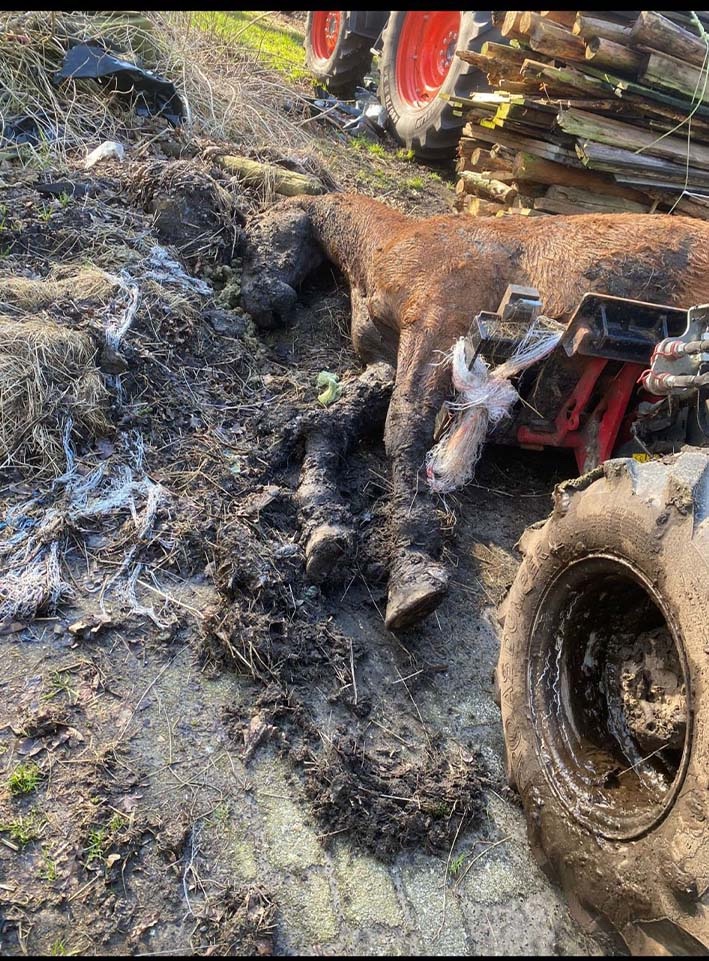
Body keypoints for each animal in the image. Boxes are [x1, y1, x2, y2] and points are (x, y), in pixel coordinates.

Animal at [239, 194, 708, 632]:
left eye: (254, 232)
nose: (263, 307)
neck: (389, 244)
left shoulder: (437, 328)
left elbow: (404, 429)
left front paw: (412, 570)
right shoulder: (388, 359)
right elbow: (335, 421)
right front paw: (322, 523)